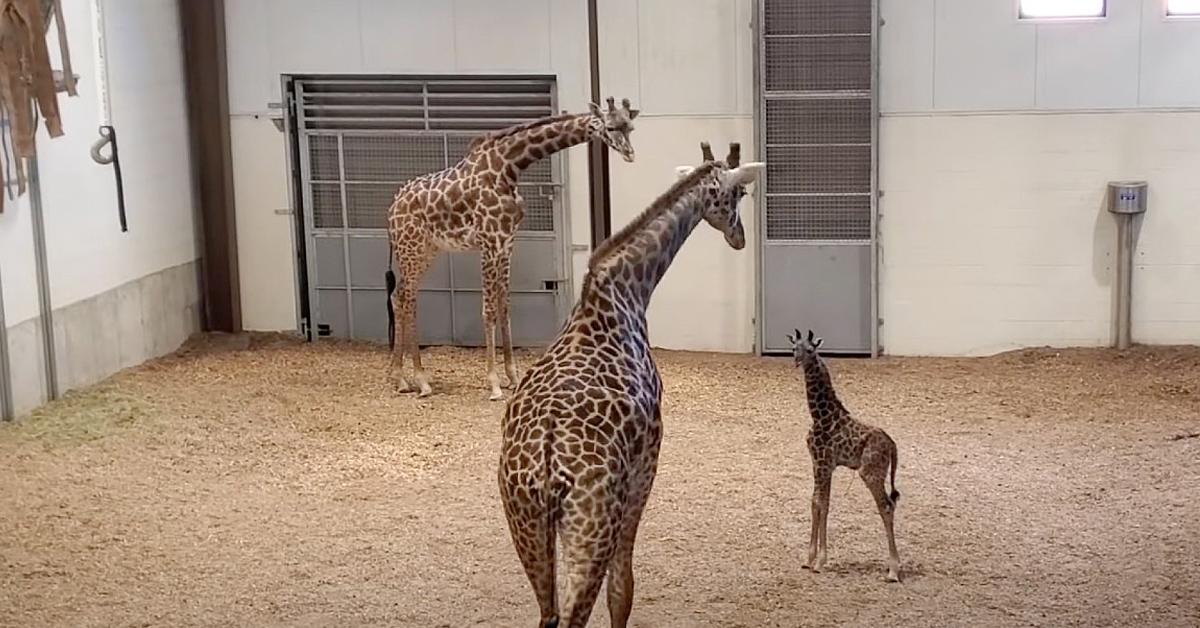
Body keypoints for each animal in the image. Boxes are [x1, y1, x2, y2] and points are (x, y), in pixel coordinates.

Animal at [384, 98, 640, 400]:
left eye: (630, 127)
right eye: (610, 127)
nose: (630, 154)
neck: (508, 167)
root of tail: (391, 209)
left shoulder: (506, 243)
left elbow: (505, 306)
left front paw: (513, 375)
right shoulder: (488, 241)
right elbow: (488, 309)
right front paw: (494, 382)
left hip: (426, 250)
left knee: (400, 296)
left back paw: (401, 377)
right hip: (411, 247)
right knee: (407, 298)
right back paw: (420, 379)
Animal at [498, 142, 765, 628]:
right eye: (738, 195)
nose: (738, 237)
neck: (628, 291)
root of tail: (544, 465)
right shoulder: (648, 459)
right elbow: (623, 589)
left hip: (524, 520)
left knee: (547, 614)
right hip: (592, 522)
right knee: (574, 614)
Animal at [787, 328, 902, 583]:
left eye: (810, 349)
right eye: (793, 347)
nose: (797, 360)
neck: (820, 415)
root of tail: (893, 445)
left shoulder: (823, 463)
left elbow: (822, 503)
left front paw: (820, 561)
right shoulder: (819, 464)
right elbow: (817, 503)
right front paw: (810, 559)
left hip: (870, 473)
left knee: (887, 506)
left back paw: (893, 570)